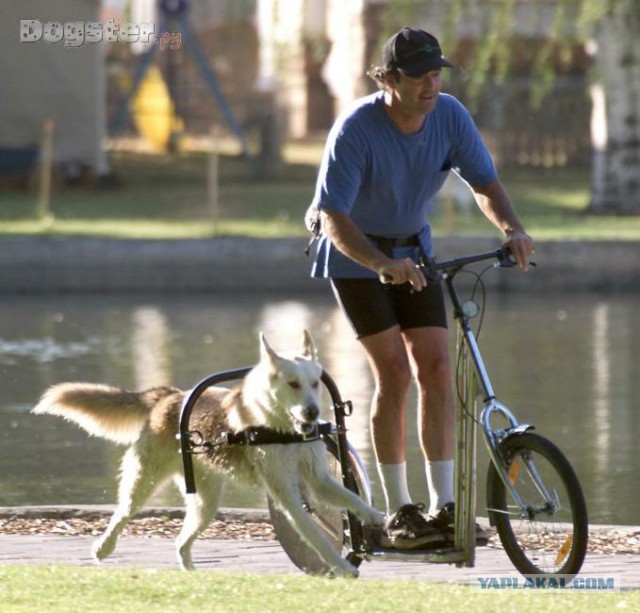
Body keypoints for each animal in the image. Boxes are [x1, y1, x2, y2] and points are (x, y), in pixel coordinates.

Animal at [32, 330, 382, 572]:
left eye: (314, 383)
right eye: (292, 384)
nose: (312, 412)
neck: (281, 428)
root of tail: (168, 396)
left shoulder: (318, 480)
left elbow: (353, 500)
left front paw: (379, 518)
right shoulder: (288, 496)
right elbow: (316, 536)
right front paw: (342, 567)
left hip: (206, 501)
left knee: (180, 541)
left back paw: (191, 574)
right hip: (143, 482)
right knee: (121, 514)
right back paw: (103, 548)